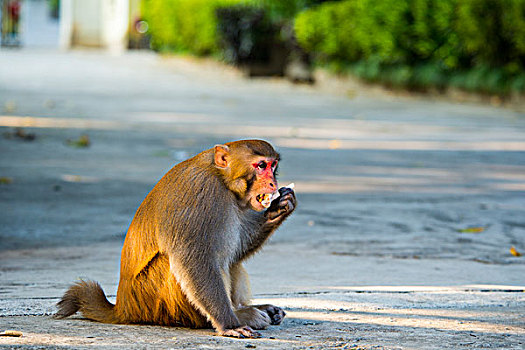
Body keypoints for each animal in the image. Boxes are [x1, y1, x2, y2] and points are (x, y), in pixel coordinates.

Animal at [57, 140, 296, 340]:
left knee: (230, 260)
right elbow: (194, 259)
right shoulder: (201, 194)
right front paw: (229, 324)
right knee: (178, 262)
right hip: (154, 302)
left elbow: (238, 249)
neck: (222, 179)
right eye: (261, 165)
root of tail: (123, 308)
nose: (273, 182)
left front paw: (278, 209)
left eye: (273, 165)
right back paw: (240, 315)